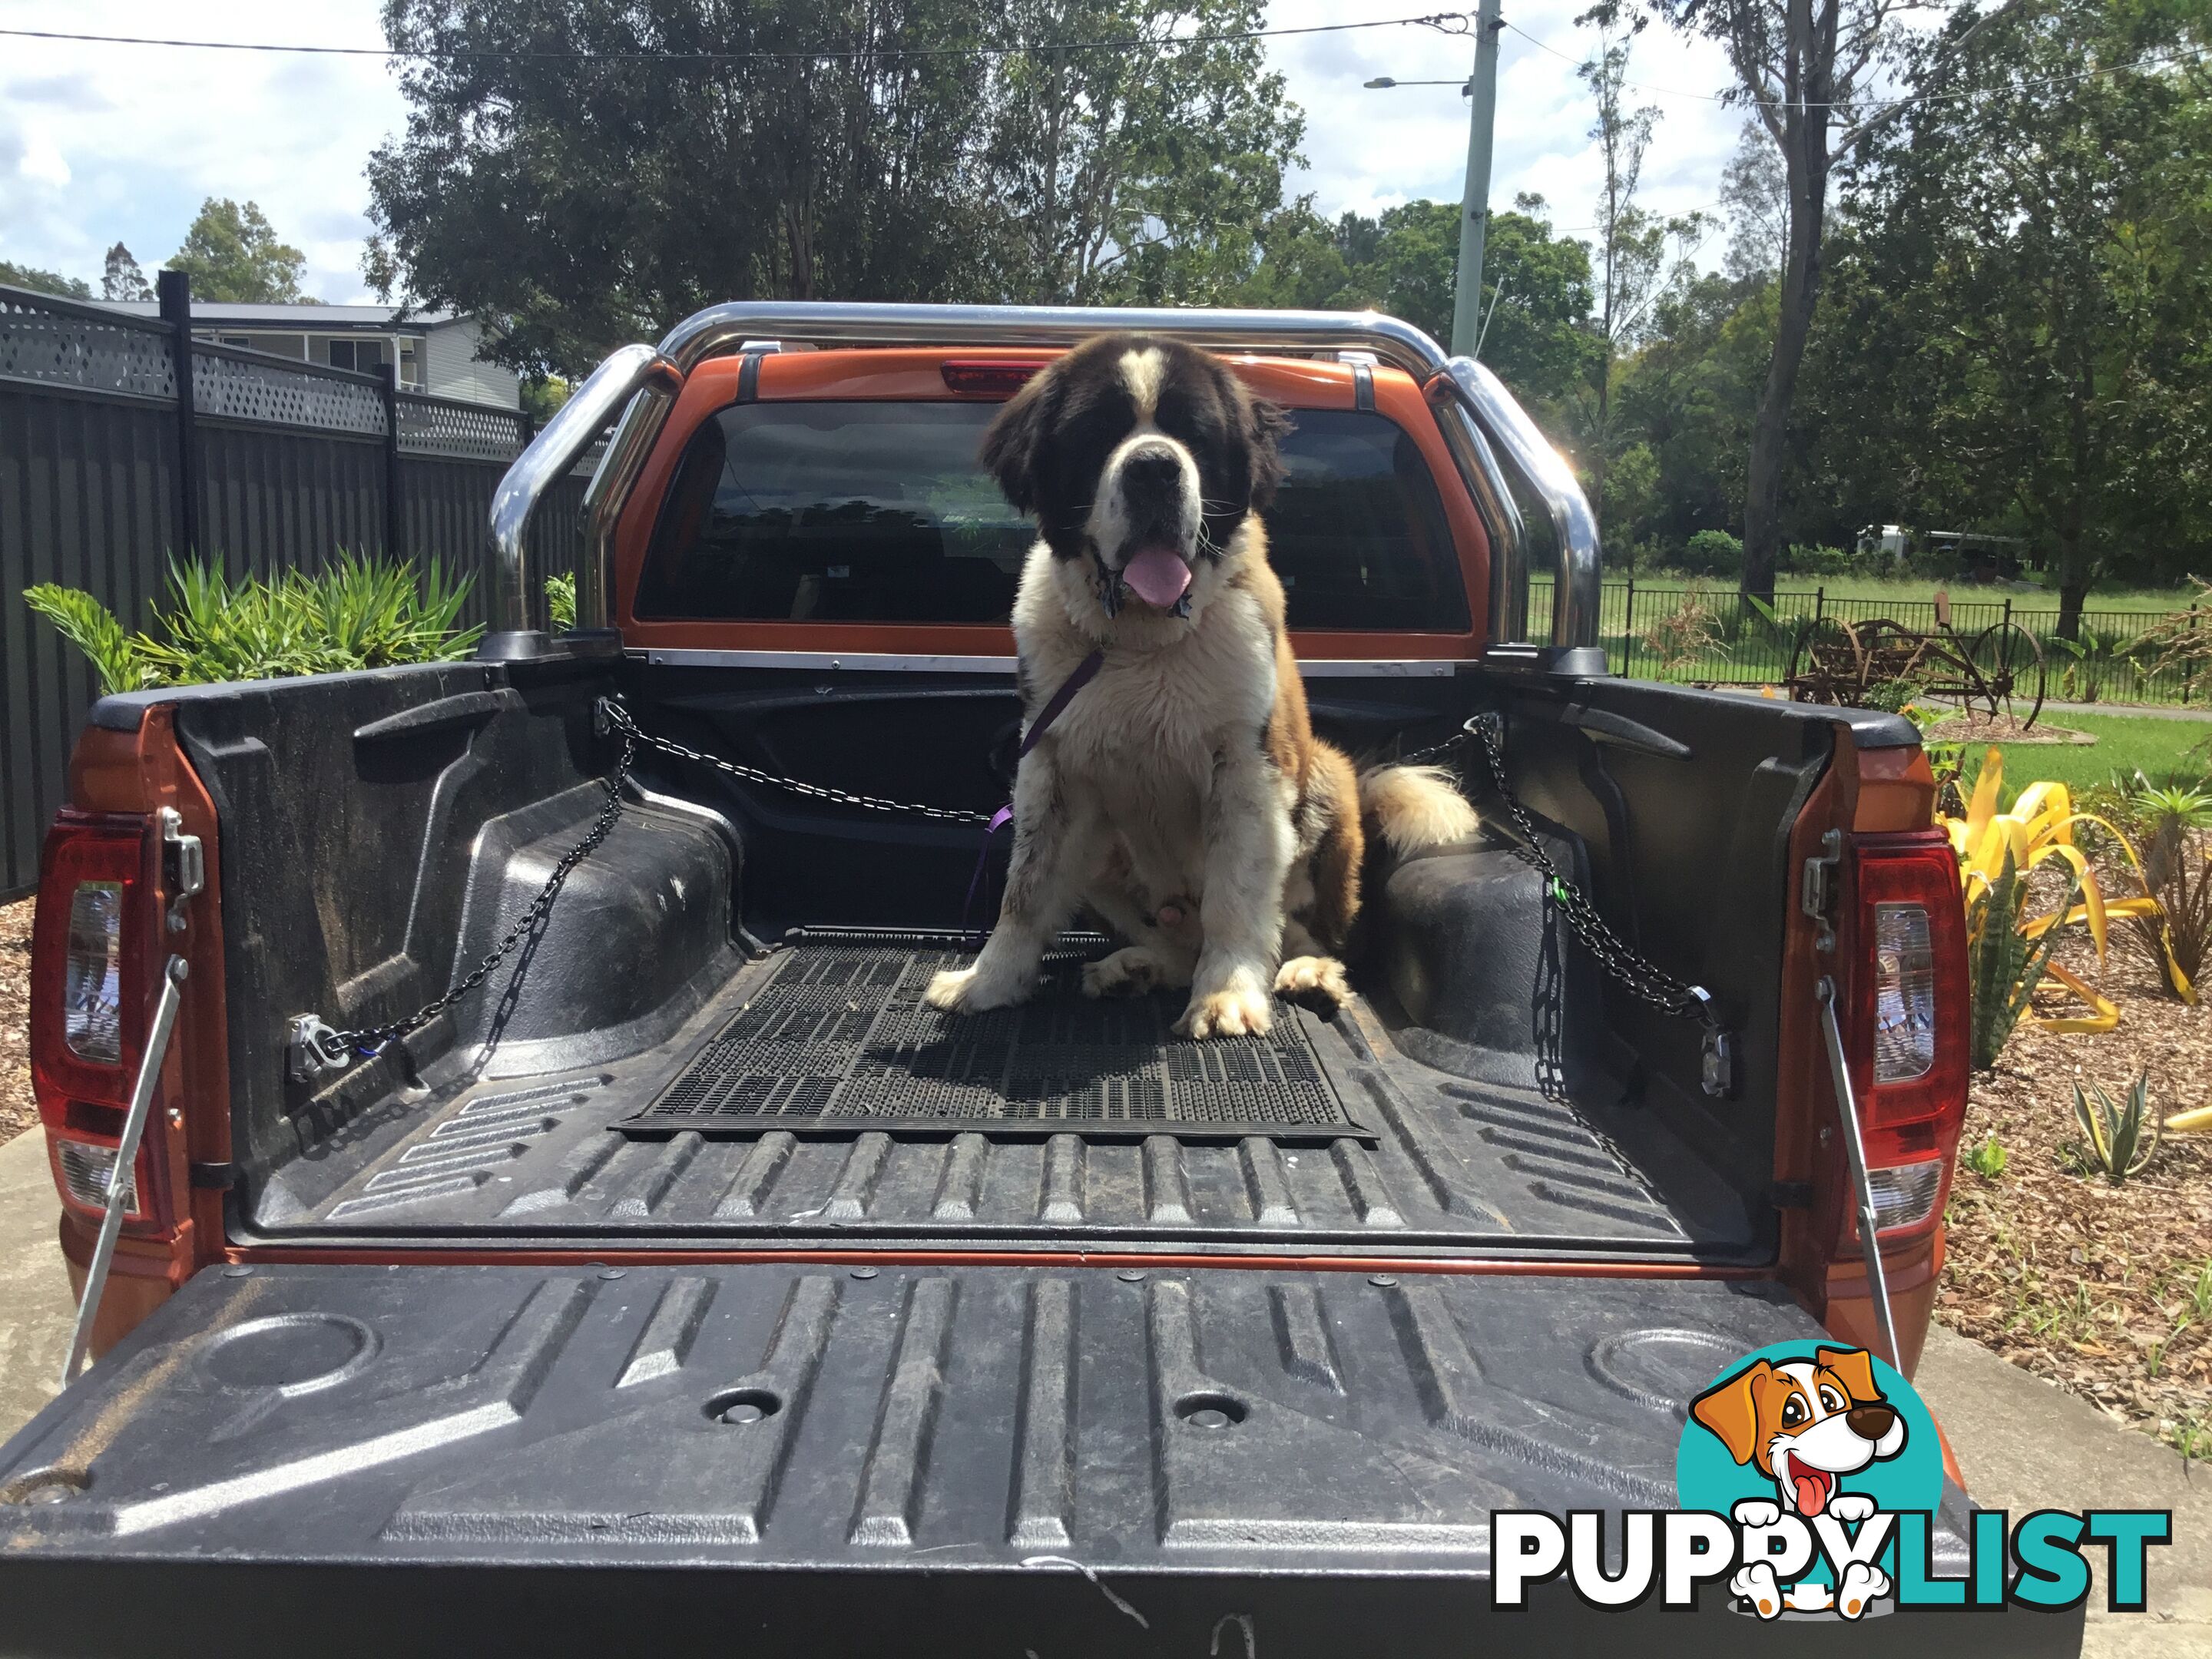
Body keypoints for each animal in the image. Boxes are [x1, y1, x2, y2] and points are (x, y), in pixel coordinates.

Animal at [924, 329, 1477, 1039]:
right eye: (1099, 433)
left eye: (1194, 434)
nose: (1156, 468)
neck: (1141, 640)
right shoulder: (1051, 772)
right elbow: (1025, 889)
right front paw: (986, 983)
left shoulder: (1248, 770)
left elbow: (1235, 896)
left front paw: (1229, 994)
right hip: (1106, 856)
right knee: (1172, 943)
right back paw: (1136, 967)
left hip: (1325, 779)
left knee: (1312, 934)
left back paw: (1308, 972)